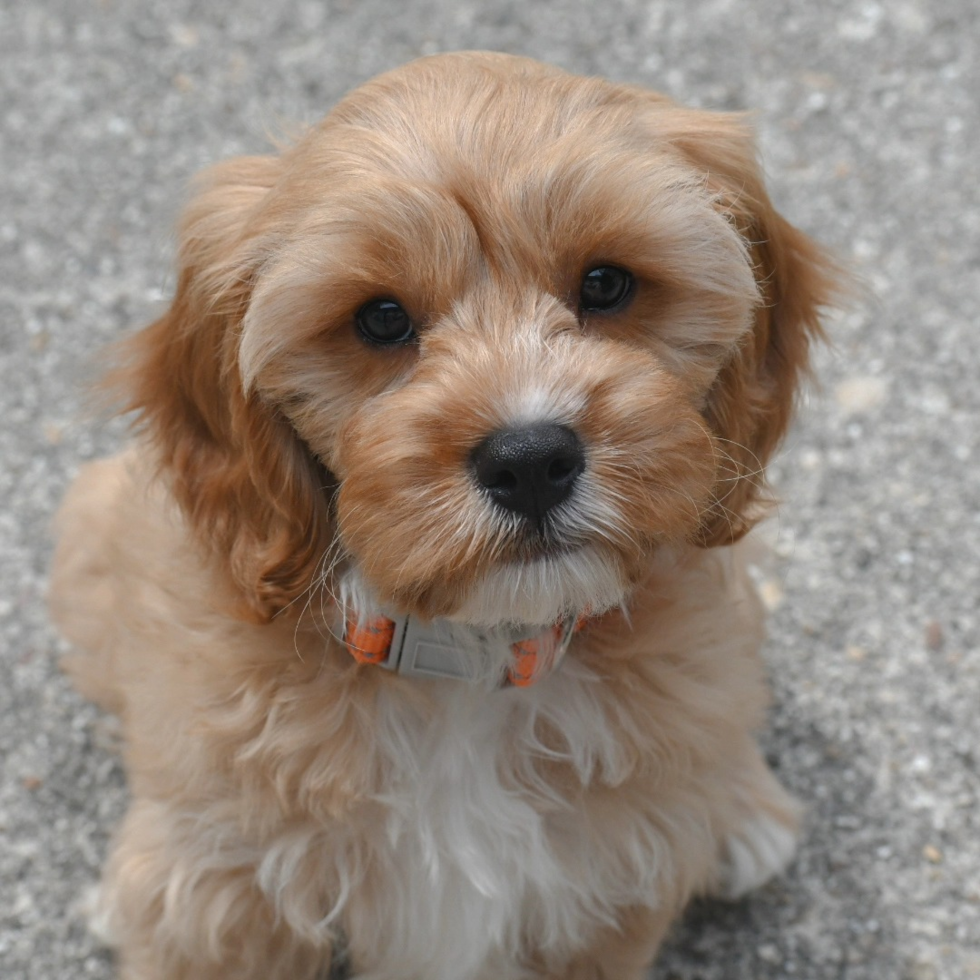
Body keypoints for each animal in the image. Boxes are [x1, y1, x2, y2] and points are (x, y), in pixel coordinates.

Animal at [49, 51, 836, 980]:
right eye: (381, 318)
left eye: (606, 283)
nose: (529, 461)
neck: (468, 657)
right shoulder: (226, 899)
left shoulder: (604, 896)